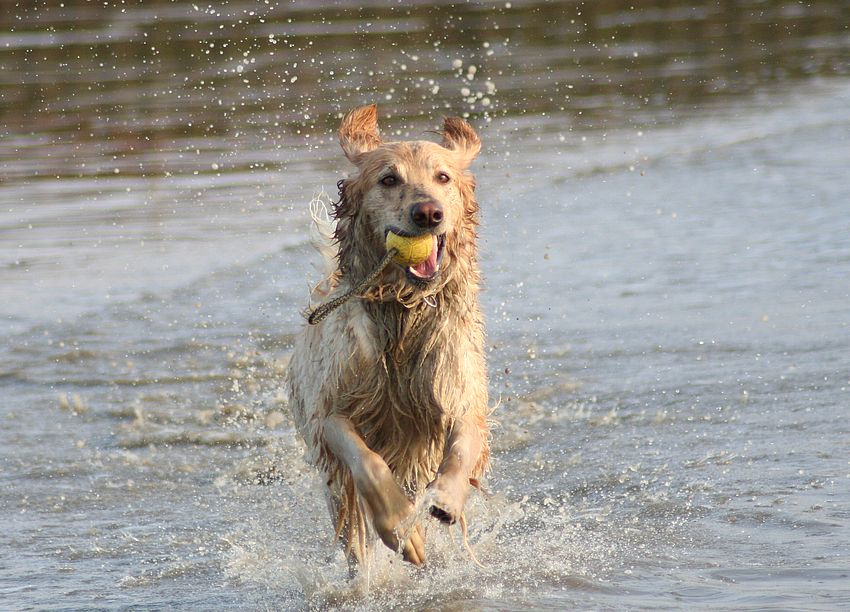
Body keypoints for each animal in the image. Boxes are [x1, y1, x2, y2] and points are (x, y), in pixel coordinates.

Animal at [288, 104, 490, 567]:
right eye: (388, 179)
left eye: (442, 177)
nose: (428, 213)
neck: (402, 311)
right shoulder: (331, 412)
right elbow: (368, 462)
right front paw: (401, 527)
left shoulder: (460, 391)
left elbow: (462, 445)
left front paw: (446, 499)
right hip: (334, 488)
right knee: (352, 535)